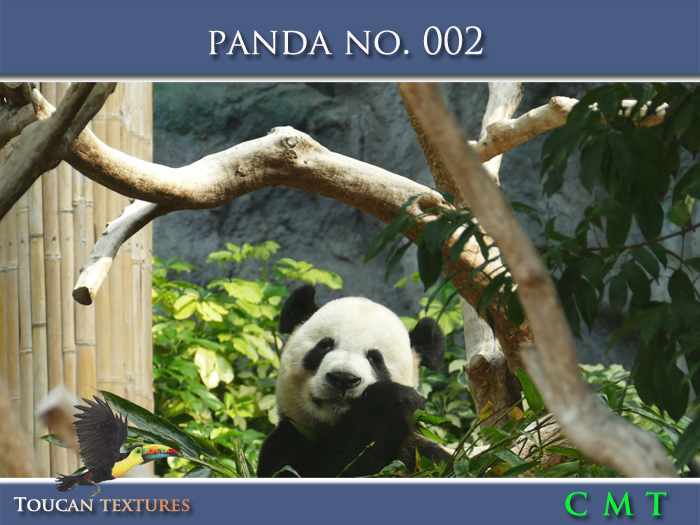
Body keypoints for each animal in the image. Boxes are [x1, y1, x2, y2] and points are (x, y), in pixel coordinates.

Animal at [257, 284, 451, 478]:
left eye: (376, 359)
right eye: (324, 346)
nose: (343, 378)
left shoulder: (423, 452)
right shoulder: (288, 436)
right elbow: (302, 469)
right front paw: (388, 404)